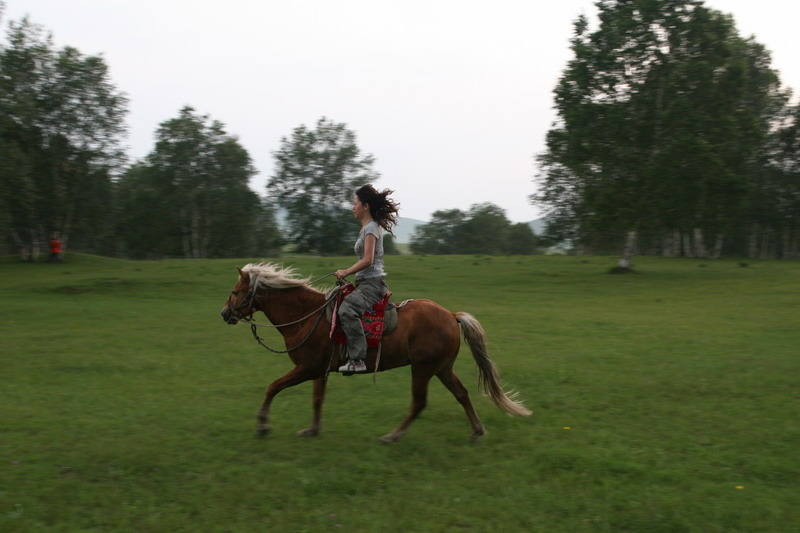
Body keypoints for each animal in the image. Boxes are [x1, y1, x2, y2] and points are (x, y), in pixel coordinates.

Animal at [219, 262, 532, 440]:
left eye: (235, 291)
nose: (224, 314)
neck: (308, 316)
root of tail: (451, 315)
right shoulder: (319, 370)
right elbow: (317, 399)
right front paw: (312, 430)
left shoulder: (306, 368)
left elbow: (273, 387)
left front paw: (262, 425)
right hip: (442, 368)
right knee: (462, 394)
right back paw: (477, 430)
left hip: (422, 368)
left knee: (419, 403)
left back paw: (393, 435)